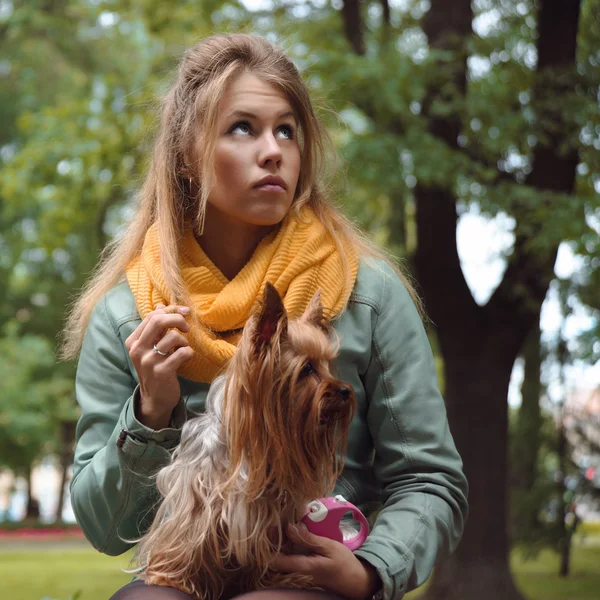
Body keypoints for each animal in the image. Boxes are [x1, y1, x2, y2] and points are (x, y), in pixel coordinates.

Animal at [132, 282, 356, 600]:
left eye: (327, 366)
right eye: (307, 369)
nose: (345, 391)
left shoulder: (271, 513)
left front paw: (282, 578)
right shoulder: (198, 501)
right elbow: (189, 539)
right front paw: (172, 578)